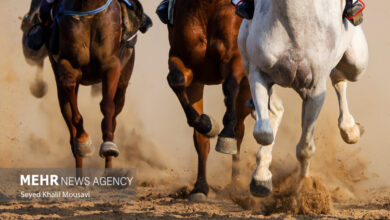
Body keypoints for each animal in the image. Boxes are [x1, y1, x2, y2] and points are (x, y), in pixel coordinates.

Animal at [29, 0, 145, 168]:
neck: (88, 9)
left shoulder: (111, 64)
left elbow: (107, 105)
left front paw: (108, 145)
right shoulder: (67, 62)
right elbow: (69, 87)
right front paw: (83, 141)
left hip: (124, 77)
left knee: (115, 113)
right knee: (69, 122)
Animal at [166, 0, 251, 201]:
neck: (205, 8)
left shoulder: (235, 58)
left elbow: (229, 85)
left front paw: (225, 134)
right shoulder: (188, 67)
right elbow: (176, 80)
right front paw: (207, 124)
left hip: (247, 86)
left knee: (240, 128)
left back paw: (236, 183)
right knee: (202, 140)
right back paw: (201, 187)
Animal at [238, 0, 368, 197]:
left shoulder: (315, 90)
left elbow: (305, 148)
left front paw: (304, 187)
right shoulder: (258, 73)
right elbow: (263, 133)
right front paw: (261, 179)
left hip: (357, 62)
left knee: (340, 78)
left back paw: (351, 130)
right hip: (246, 56)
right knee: (275, 110)